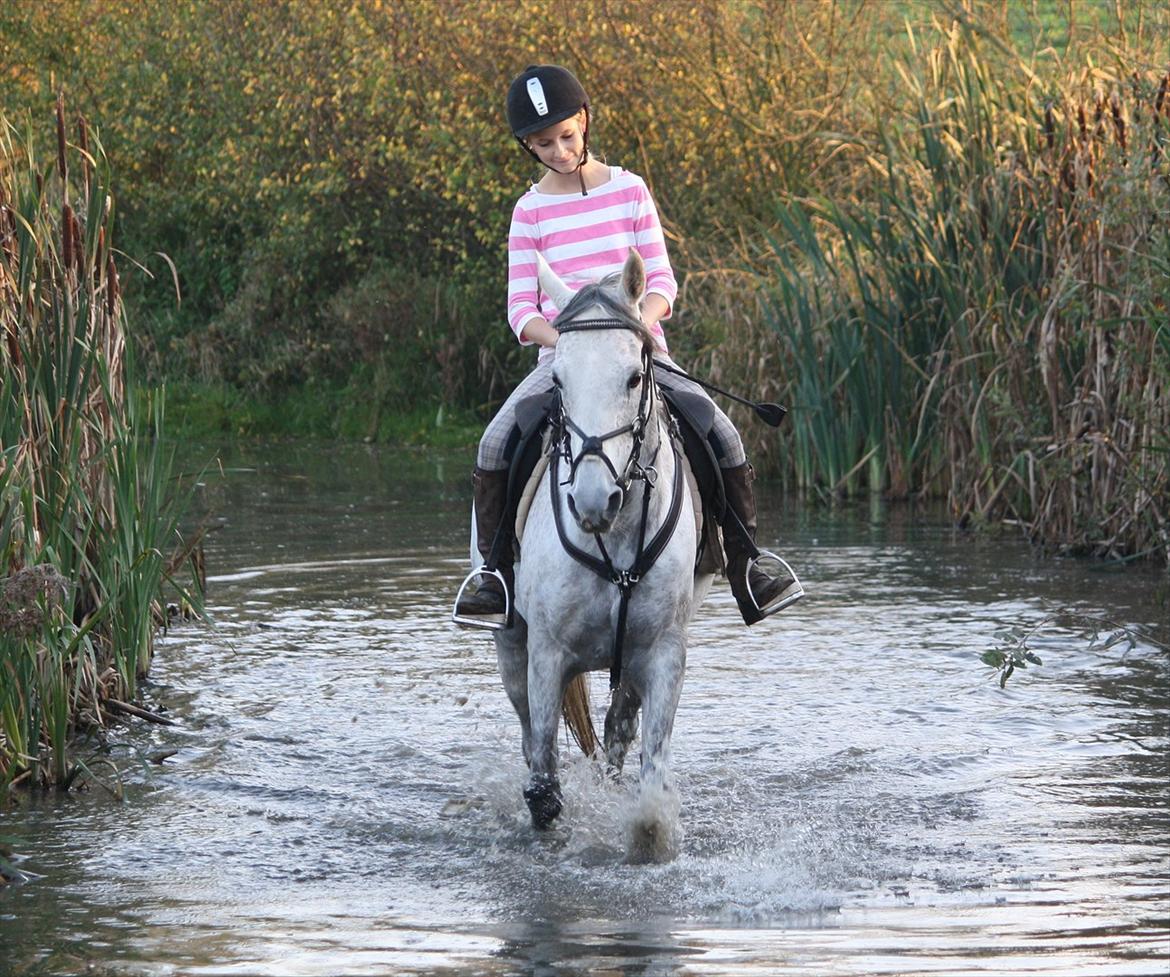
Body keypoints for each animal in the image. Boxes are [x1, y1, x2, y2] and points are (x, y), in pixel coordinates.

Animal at [492, 249, 711, 862]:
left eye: (634, 375)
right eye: (559, 380)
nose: (593, 501)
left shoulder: (663, 655)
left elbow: (652, 797)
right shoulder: (546, 655)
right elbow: (543, 788)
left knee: (617, 734)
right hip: (511, 647)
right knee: (531, 736)